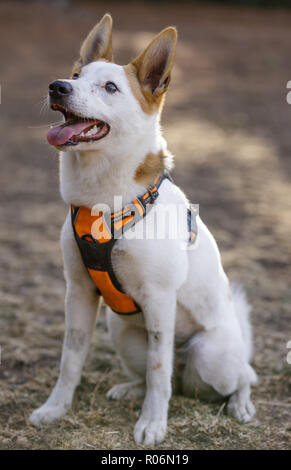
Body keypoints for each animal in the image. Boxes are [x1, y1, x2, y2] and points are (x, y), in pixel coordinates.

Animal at [29, 14, 258, 446]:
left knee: (233, 377)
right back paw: (127, 388)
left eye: (110, 87)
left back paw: (240, 404)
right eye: (75, 75)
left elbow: (158, 372)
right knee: (161, 374)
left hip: (211, 357)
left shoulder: (159, 298)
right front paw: (55, 408)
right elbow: (71, 359)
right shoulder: (78, 291)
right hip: (120, 330)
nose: (57, 86)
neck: (103, 203)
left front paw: (153, 423)